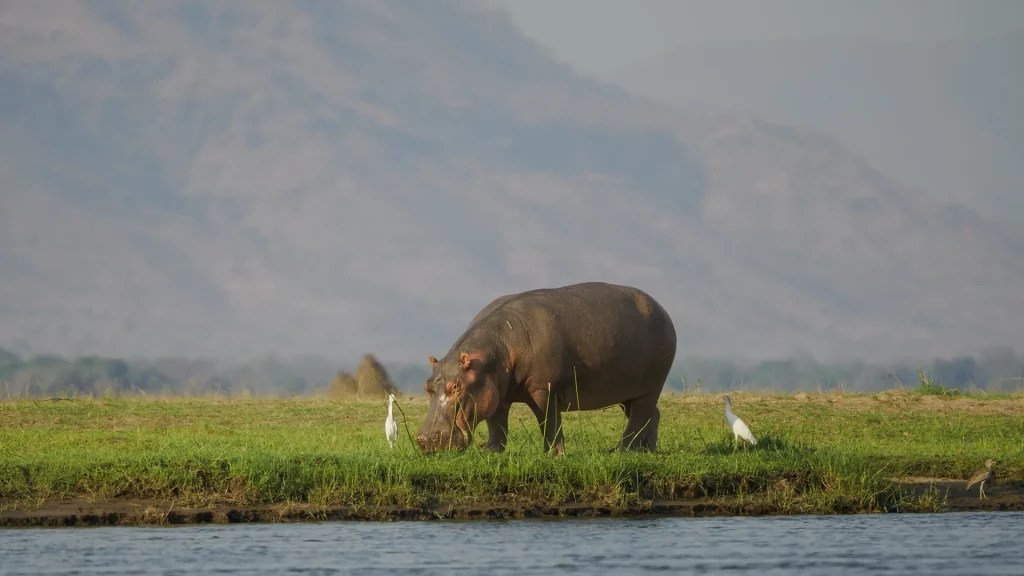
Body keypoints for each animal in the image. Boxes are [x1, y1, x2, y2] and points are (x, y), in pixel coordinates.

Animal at [416, 281, 677, 455]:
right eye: (427, 386)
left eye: (456, 386)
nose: (427, 439)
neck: (494, 353)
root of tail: (662, 309)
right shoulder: (497, 393)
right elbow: (497, 424)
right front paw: (490, 451)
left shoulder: (544, 390)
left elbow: (549, 421)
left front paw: (553, 454)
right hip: (628, 392)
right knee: (651, 415)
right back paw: (647, 450)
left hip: (651, 386)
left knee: (639, 418)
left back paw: (621, 451)